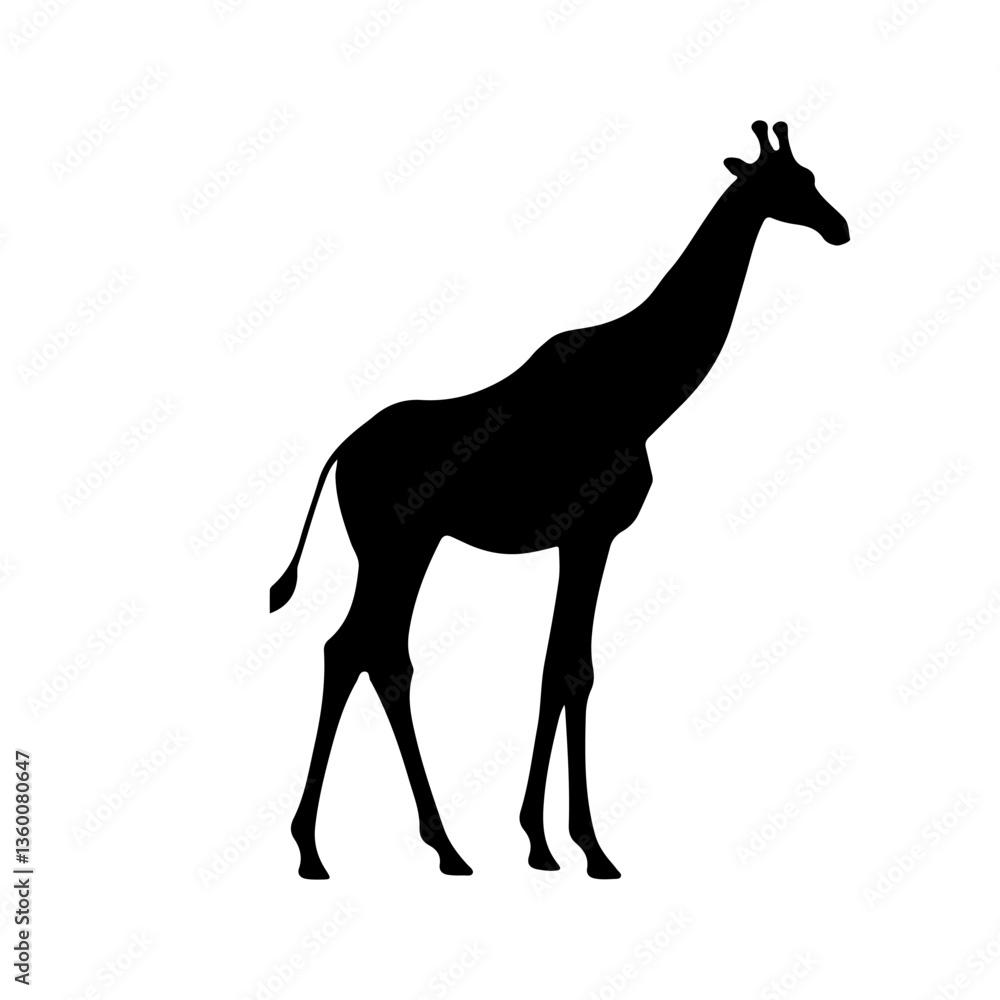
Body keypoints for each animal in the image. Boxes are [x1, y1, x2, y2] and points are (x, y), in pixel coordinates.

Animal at [270, 120, 850, 880]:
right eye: (789, 183)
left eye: (811, 176)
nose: (839, 226)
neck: (642, 391)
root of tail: (342, 452)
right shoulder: (592, 533)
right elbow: (574, 670)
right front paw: (587, 846)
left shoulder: (579, 540)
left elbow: (559, 668)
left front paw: (541, 842)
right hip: (399, 544)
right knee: (359, 650)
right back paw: (327, 848)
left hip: (400, 548)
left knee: (374, 653)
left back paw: (430, 845)